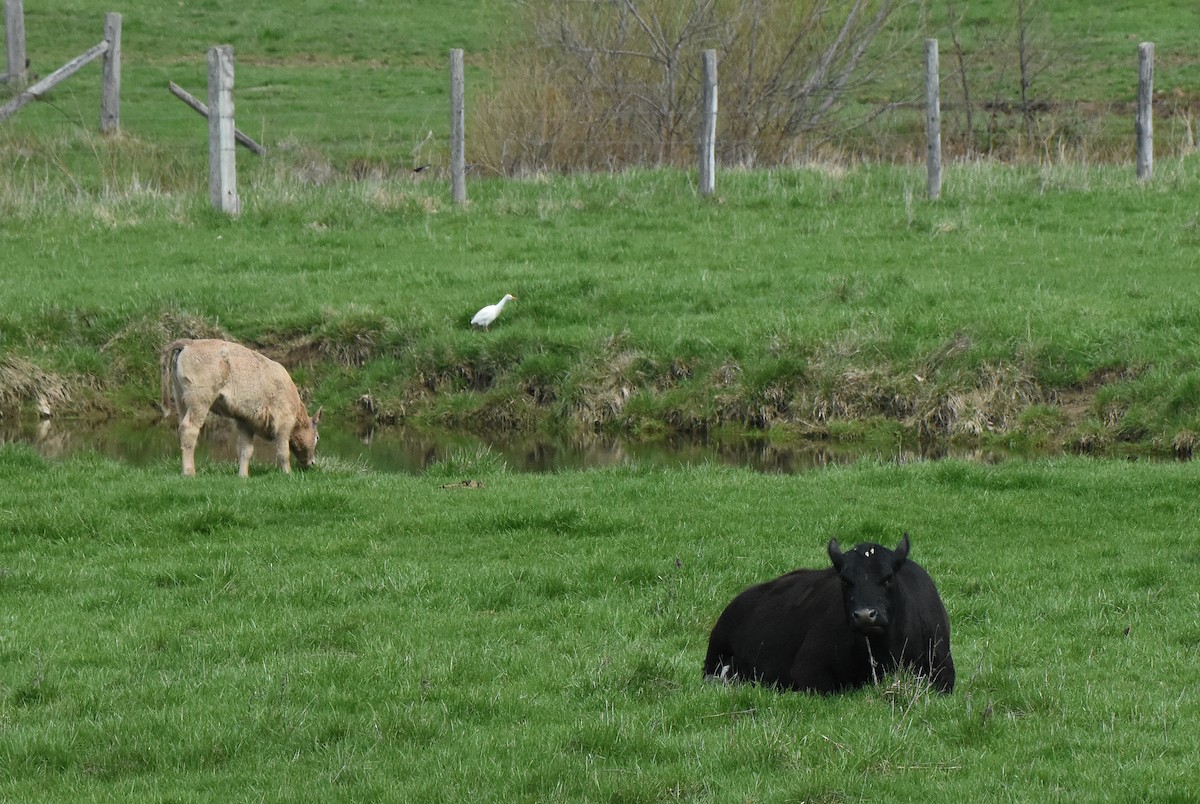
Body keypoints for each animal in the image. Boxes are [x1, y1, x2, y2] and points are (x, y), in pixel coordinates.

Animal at [160, 338, 322, 477]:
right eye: (317, 437)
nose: (312, 462)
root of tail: (190, 343)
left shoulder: (246, 422)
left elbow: (246, 450)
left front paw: (243, 476)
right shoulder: (284, 422)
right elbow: (283, 451)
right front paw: (288, 473)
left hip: (181, 400)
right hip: (199, 401)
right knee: (189, 430)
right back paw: (189, 472)